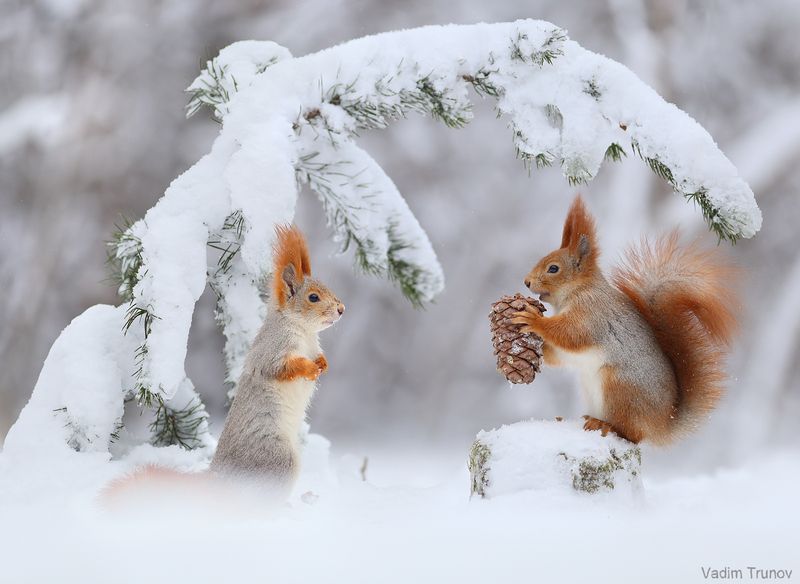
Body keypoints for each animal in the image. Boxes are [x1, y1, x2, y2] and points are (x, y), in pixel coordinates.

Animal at [512, 196, 736, 442]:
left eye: (553, 268)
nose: (526, 282)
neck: (579, 290)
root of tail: (662, 423)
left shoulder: (592, 314)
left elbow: (571, 334)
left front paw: (533, 320)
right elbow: (560, 353)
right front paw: (539, 348)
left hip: (619, 388)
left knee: (632, 434)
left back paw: (604, 425)